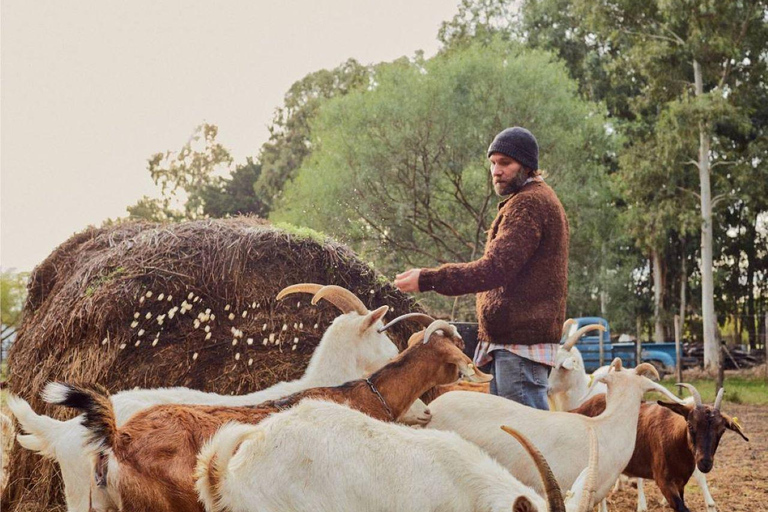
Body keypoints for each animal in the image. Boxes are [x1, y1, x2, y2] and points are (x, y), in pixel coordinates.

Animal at [572, 384, 748, 512]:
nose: (705, 463)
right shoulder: (664, 481)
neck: (675, 440)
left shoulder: (680, 482)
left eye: (722, 430)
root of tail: (578, 409)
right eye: (690, 425)